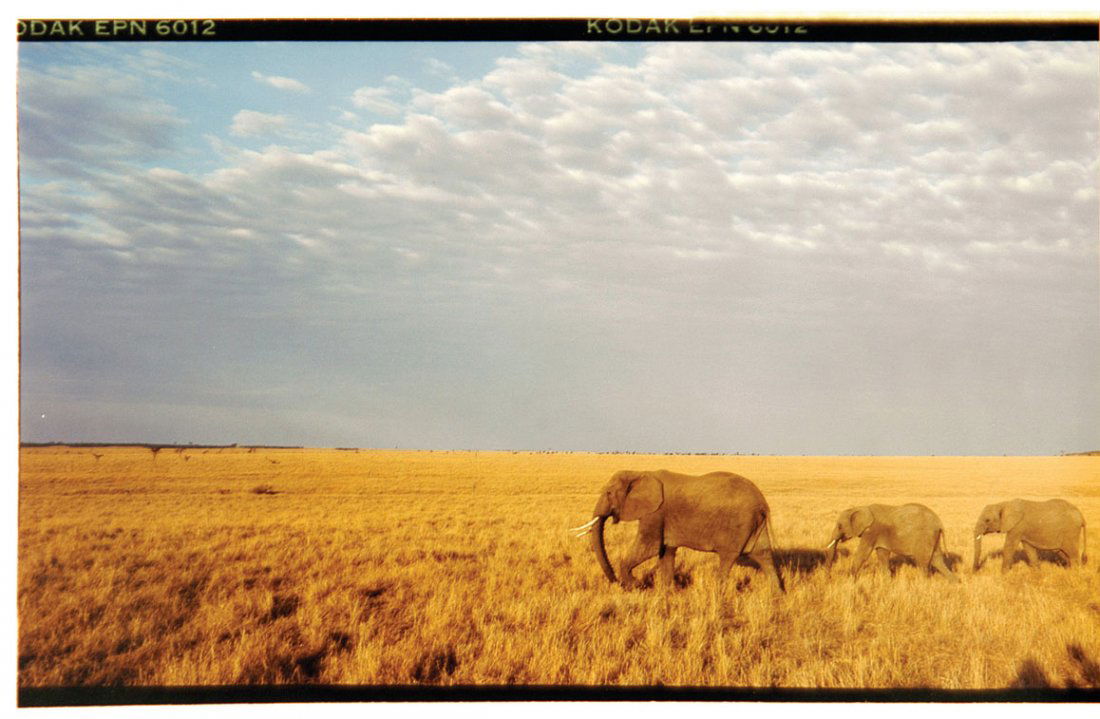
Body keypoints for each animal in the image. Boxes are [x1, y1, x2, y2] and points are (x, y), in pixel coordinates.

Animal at [570, 469, 785, 592]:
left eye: (608, 493)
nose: (616, 584)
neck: (640, 472)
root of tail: (762, 502)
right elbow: (666, 552)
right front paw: (667, 594)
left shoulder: (656, 513)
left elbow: (650, 548)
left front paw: (635, 586)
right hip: (756, 525)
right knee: (764, 555)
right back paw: (776, 597)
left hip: (738, 524)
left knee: (727, 558)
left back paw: (718, 596)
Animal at [826, 503, 958, 581]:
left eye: (839, 526)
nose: (829, 577)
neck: (860, 507)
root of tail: (940, 523)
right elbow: (882, 554)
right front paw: (887, 581)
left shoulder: (871, 531)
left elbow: (863, 553)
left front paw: (849, 579)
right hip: (933, 537)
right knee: (937, 559)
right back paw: (955, 583)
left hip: (925, 536)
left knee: (923, 562)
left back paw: (923, 584)